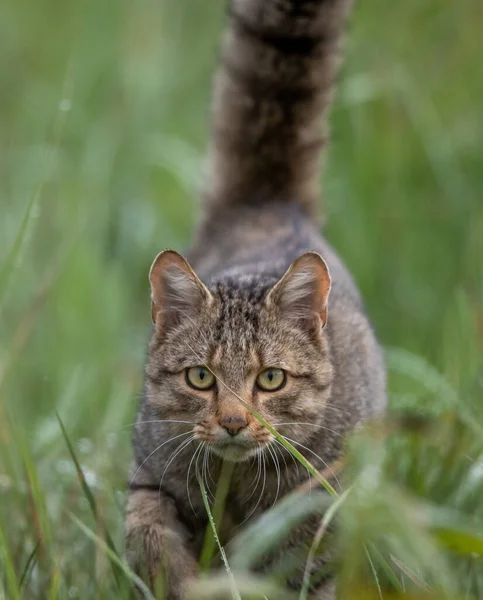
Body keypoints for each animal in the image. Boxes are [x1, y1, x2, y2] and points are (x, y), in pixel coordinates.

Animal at [125, 0, 386, 596]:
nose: (233, 422)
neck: (234, 481)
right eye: (200, 377)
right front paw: (181, 581)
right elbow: (148, 534)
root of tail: (268, 204)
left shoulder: (317, 522)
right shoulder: (149, 477)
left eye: (271, 380)